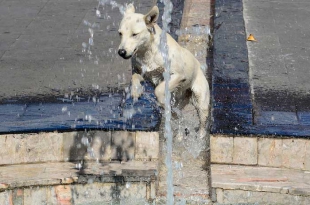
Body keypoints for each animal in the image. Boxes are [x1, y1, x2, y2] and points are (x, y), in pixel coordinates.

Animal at [117, 3, 209, 138]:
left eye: (134, 34)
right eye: (120, 33)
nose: (121, 52)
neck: (148, 52)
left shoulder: (177, 75)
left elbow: (158, 90)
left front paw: (162, 102)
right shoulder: (142, 72)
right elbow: (134, 77)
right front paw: (136, 91)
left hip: (200, 98)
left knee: (202, 119)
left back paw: (200, 135)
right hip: (180, 99)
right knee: (179, 115)